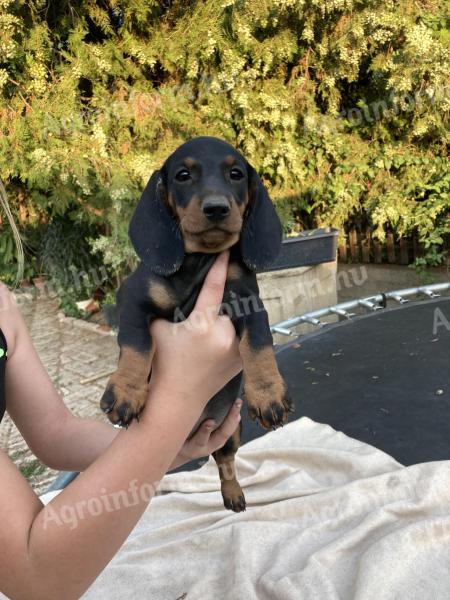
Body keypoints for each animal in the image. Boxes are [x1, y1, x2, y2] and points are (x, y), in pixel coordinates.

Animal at [100, 136, 294, 510]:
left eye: (236, 174)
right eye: (183, 175)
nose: (216, 209)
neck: (200, 262)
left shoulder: (250, 303)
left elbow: (258, 342)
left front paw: (268, 394)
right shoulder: (132, 298)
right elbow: (136, 343)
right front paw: (126, 391)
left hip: (230, 431)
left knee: (225, 460)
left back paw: (233, 493)